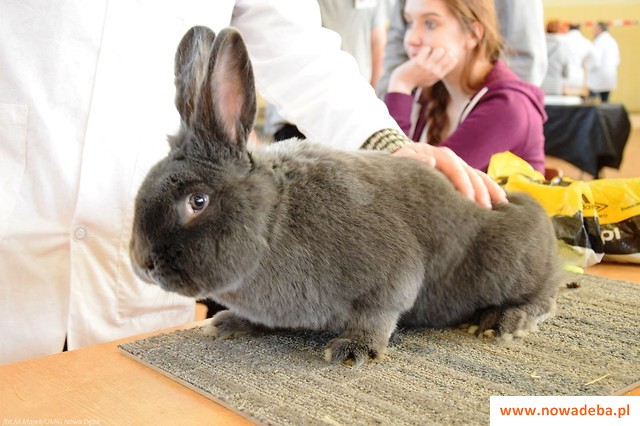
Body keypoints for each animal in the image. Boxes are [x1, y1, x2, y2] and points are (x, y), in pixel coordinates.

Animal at [129, 26, 561, 367]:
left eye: (197, 201)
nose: (142, 262)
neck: (274, 218)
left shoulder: (392, 276)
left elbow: (380, 314)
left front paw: (351, 350)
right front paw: (228, 324)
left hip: (512, 267)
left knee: (544, 296)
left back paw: (503, 322)